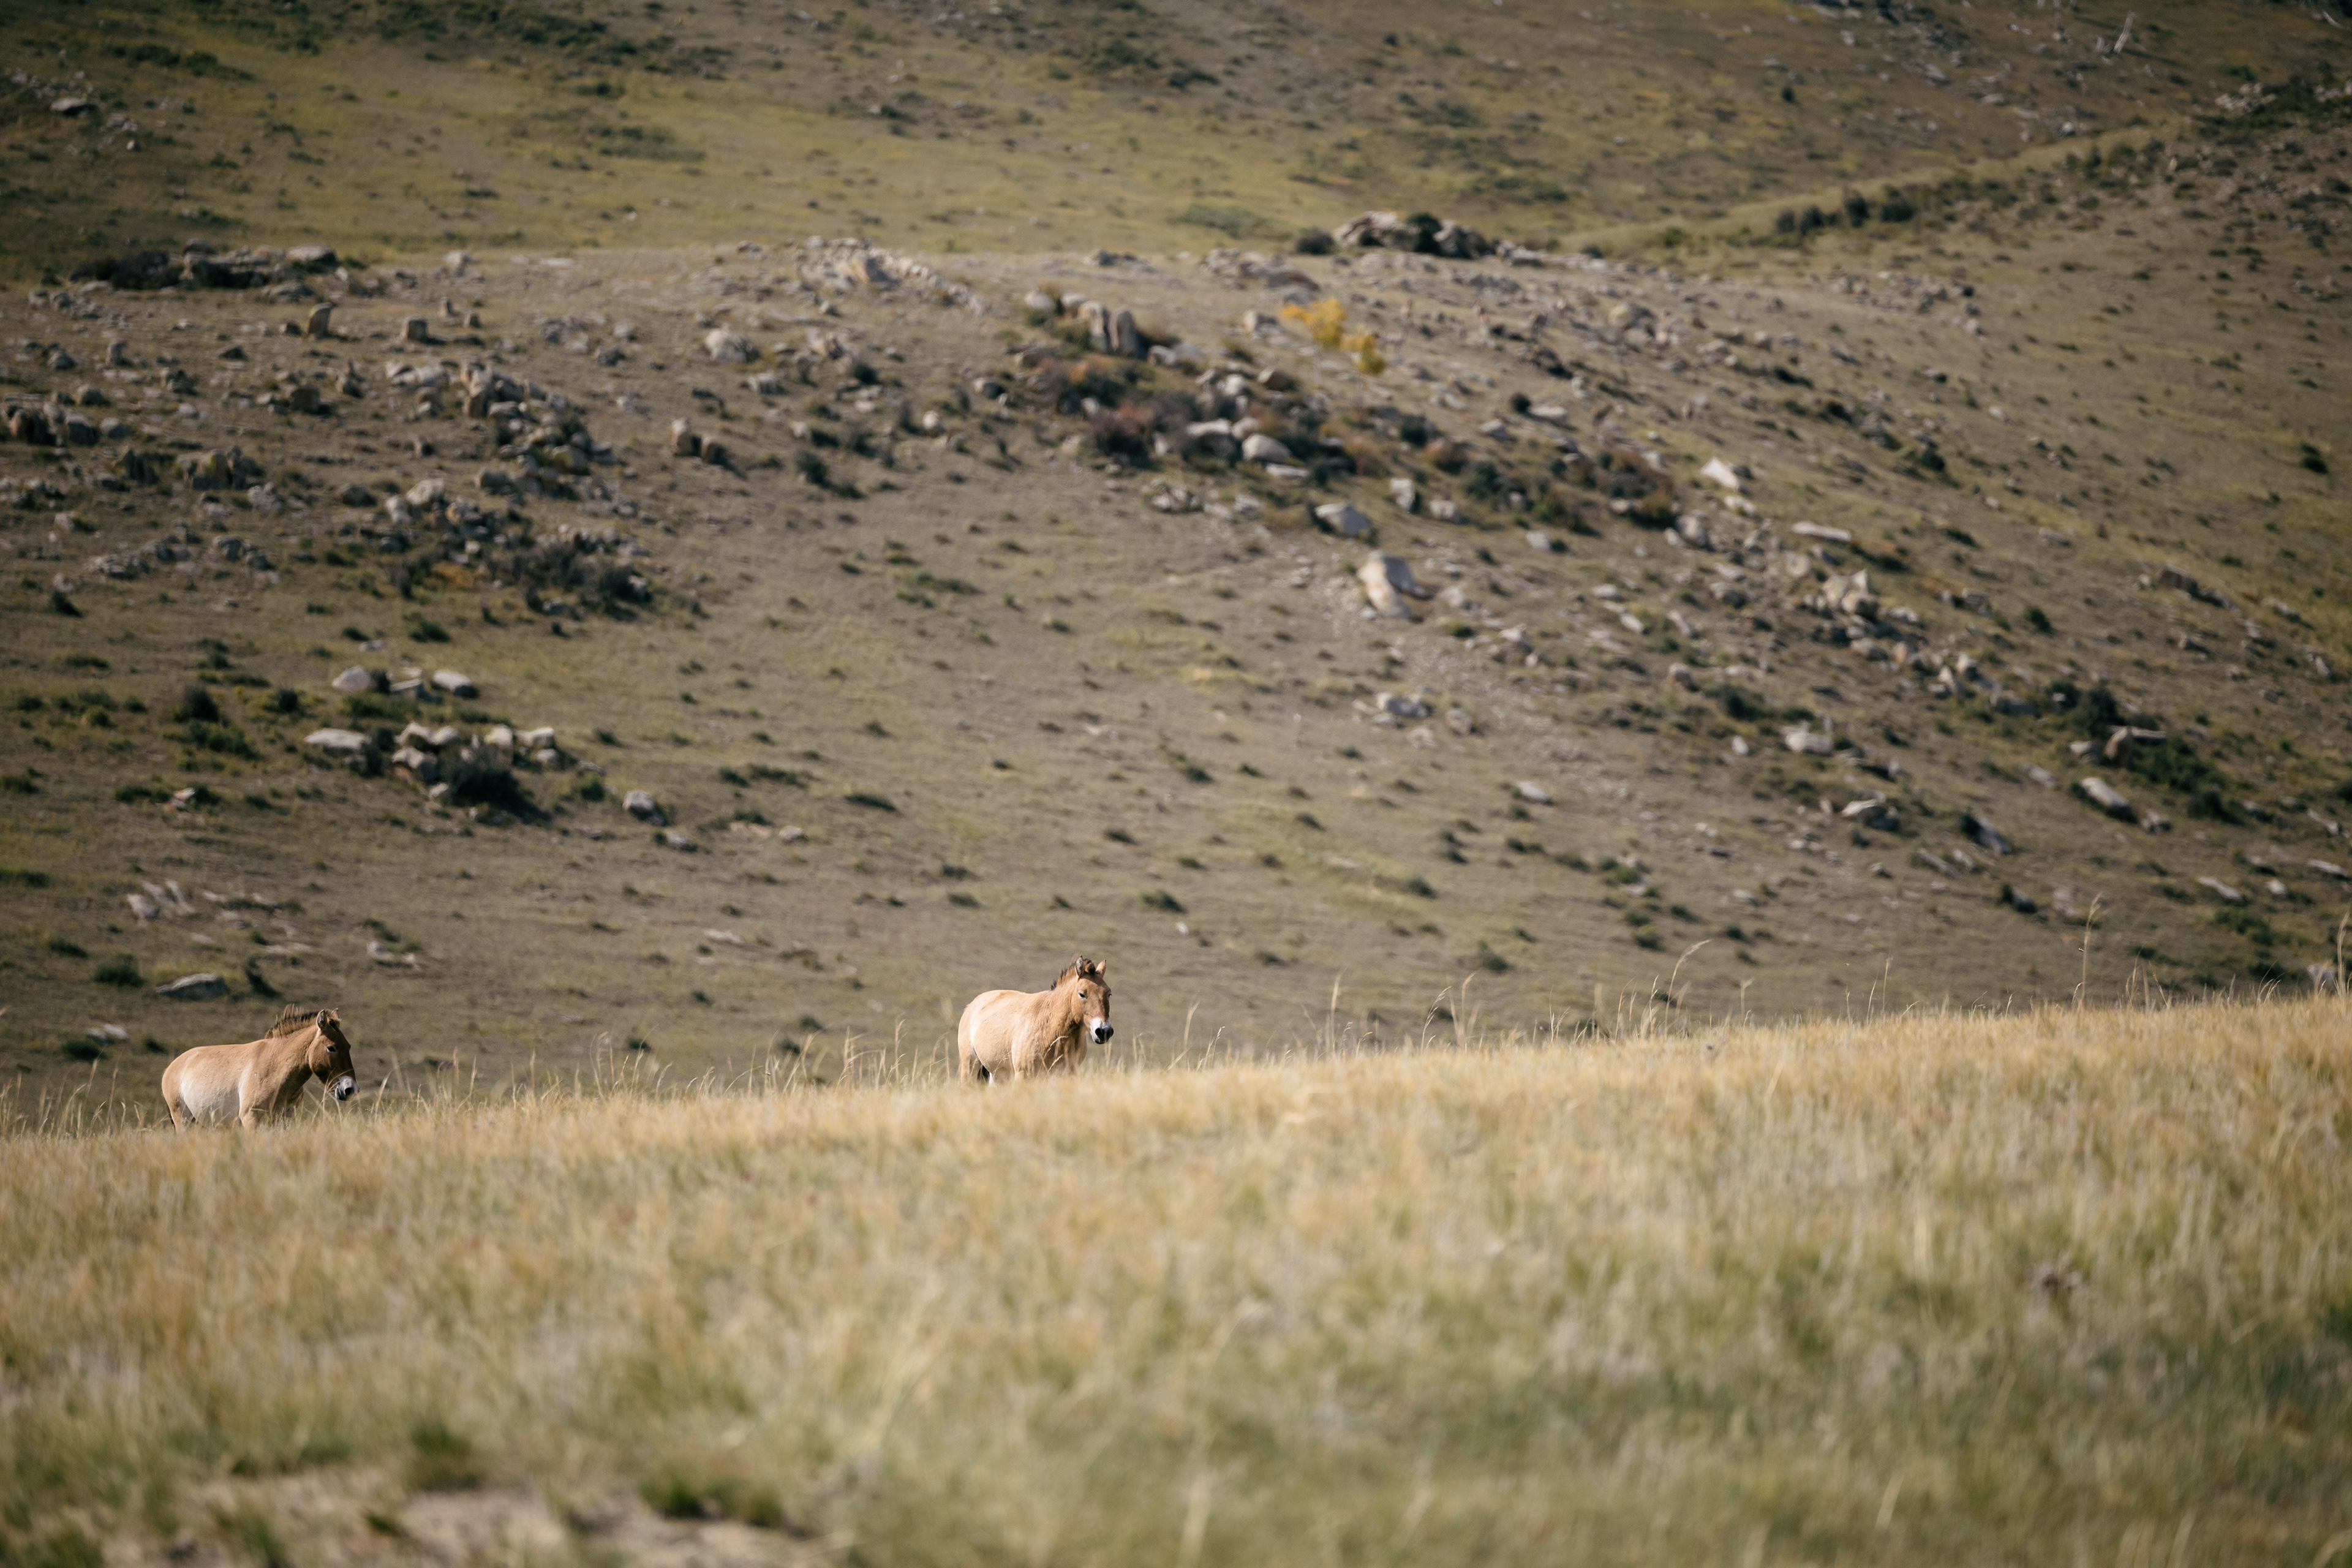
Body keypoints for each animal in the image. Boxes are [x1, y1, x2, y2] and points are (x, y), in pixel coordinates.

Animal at [161, 1005, 361, 1129]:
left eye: (349, 1046)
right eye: (331, 1048)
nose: (350, 1089)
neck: (275, 1071)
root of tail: (172, 1067)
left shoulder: (285, 1121)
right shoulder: (252, 1120)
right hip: (184, 1121)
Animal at [957, 955, 1112, 1084]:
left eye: (1109, 994)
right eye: (1082, 994)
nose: (1104, 1031)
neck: (1050, 1030)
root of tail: (972, 1005)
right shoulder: (1023, 1076)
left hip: (997, 1075)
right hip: (970, 1067)